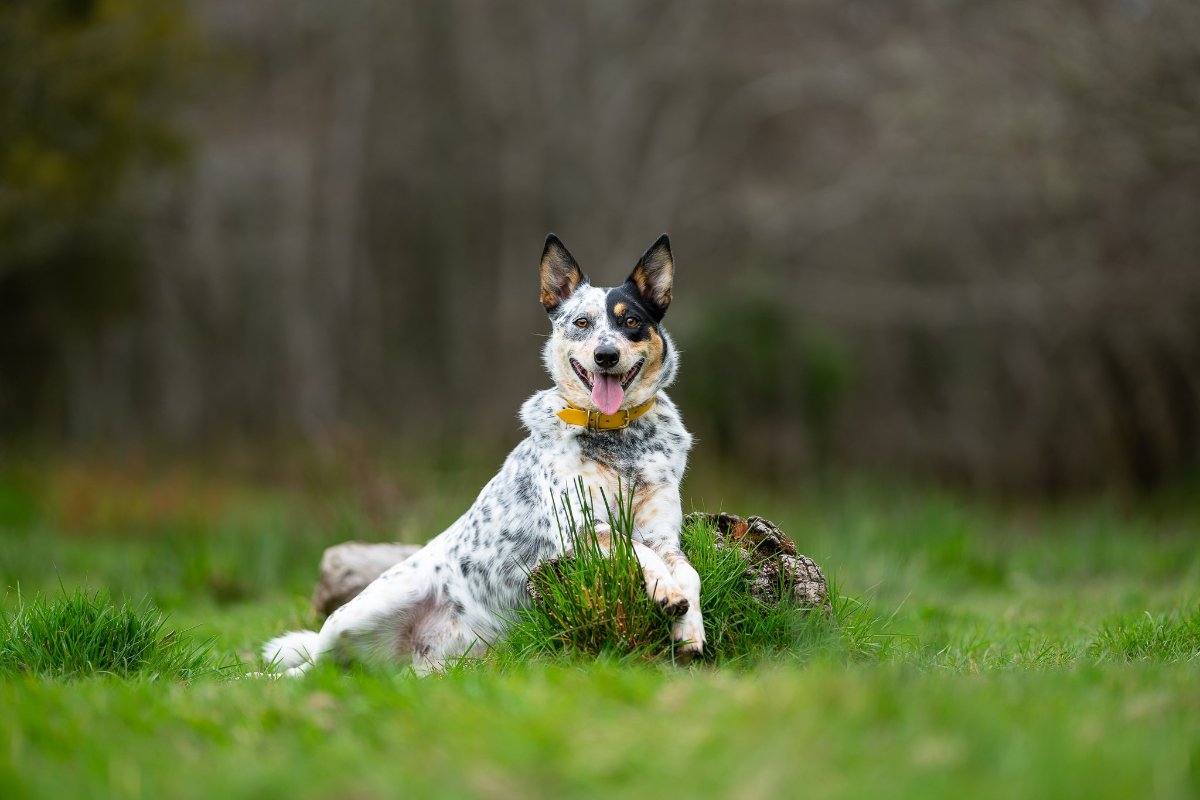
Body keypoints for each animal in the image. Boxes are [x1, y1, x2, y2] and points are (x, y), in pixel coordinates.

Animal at [258, 232, 700, 676]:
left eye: (631, 322)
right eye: (581, 323)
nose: (606, 355)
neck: (619, 441)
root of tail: (412, 654)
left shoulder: (664, 534)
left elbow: (687, 570)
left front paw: (690, 630)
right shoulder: (581, 529)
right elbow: (638, 550)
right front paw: (667, 593)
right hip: (363, 611)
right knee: (308, 665)